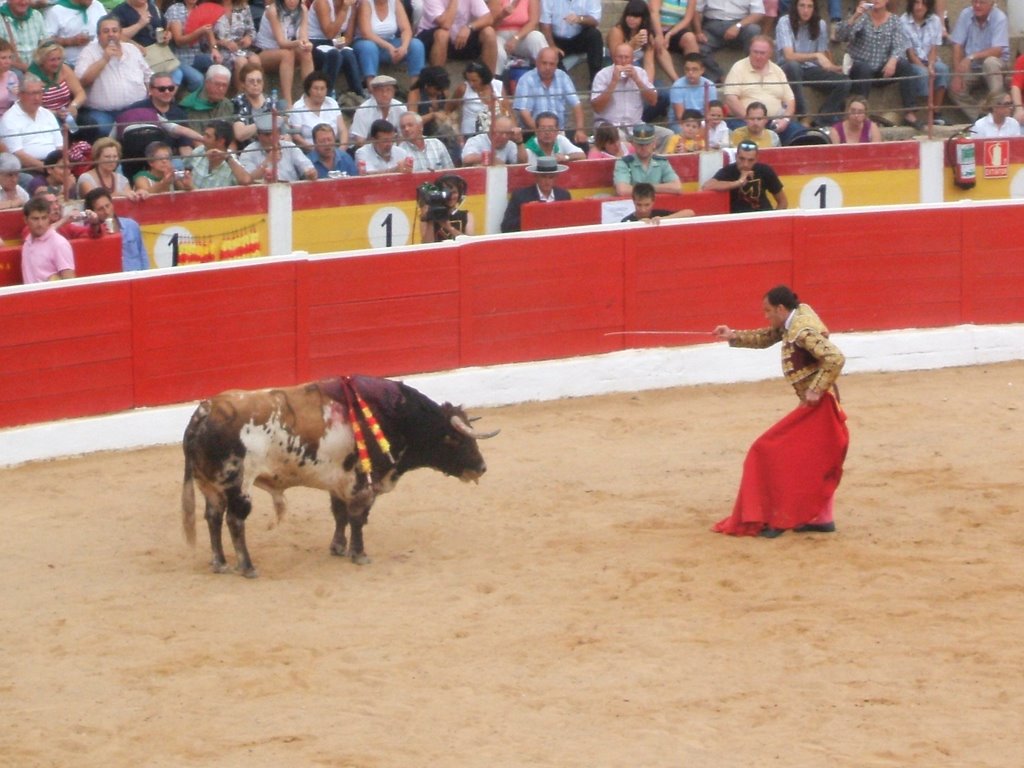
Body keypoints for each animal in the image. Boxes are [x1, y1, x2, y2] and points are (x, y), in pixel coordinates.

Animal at [181, 376, 499, 581]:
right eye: (454, 439)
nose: (481, 467)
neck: (393, 415)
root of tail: (204, 412)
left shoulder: (339, 480)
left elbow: (340, 514)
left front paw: (338, 548)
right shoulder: (364, 483)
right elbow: (358, 518)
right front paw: (359, 554)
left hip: (210, 485)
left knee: (213, 517)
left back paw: (220, 563)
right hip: (239, 484)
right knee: (235, 522)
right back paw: (247, 567)